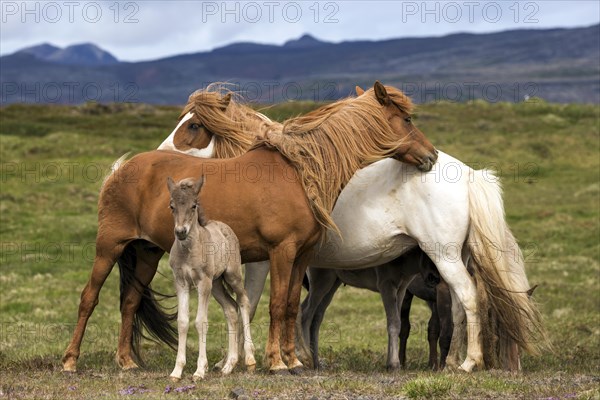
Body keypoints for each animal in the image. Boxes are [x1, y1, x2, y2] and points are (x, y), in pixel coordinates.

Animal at [166, 177, 255, 380]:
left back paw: (249, 360)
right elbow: (182, 322)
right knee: (231, 309)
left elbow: (201, 322)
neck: (188, 251)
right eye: (172, 206)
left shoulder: (203, 282)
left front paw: (200, 370)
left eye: (193, 206)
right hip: (216, 284)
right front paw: (177, 371)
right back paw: (229, 365)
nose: (180, 232)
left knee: (243, 301)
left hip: (231, 275)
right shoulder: (181, 282)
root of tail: (225, 226)